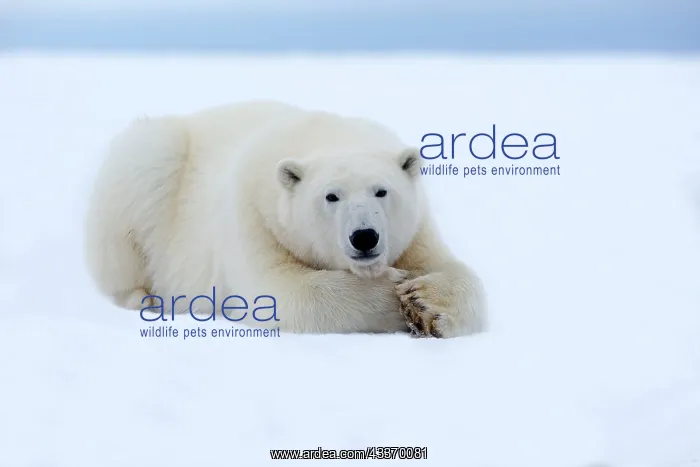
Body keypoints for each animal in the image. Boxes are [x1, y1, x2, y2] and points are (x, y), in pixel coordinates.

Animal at [83, 100, 487, 338]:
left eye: (381, 191)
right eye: (331, 196)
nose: (365, 237)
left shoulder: (416, 227)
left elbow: (455, 272)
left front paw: (424, 303)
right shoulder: (253, 214)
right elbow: (279, 292)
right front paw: (396, 293)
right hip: (151, 164)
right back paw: (144, 299)